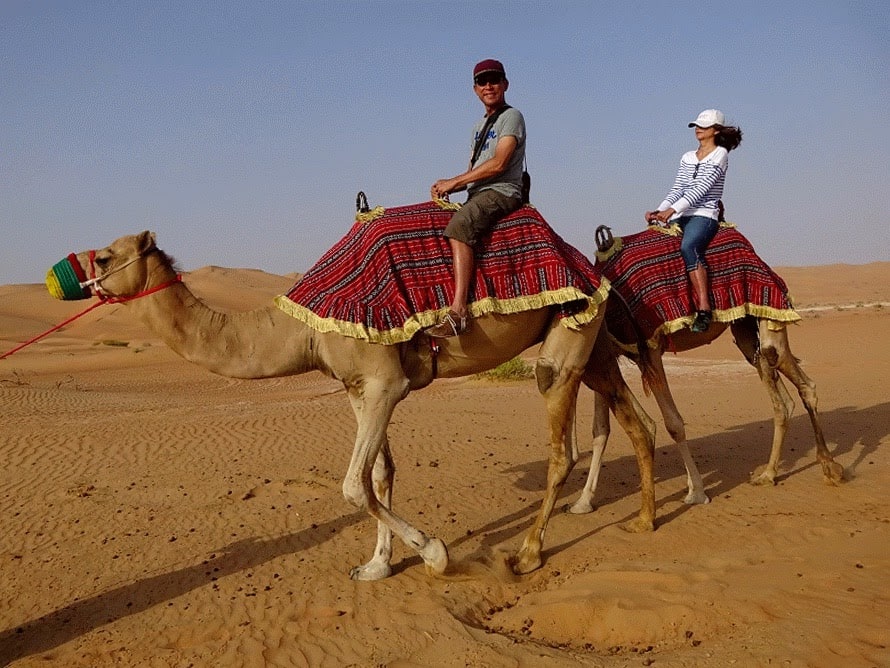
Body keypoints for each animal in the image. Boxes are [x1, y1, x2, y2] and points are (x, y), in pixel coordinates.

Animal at [53, 232, 652, 580]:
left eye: (104, 255)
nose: (63, 278)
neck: (298, 326)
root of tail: (591, 265)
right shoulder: (358, 387)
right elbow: (378, 475)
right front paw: (377, 564)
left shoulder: (385, 383)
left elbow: (351, 485)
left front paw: (434, 552)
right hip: (594, 341)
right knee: (637, 422)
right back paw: (645, 521)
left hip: (565, 345)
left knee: (561, 445)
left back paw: (526, 555)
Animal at [564, 227, 844, 516]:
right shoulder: (606, 355)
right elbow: (600, 430)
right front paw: (582, 502)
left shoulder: (650, 349)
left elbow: (674, 423)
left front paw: (697, 492)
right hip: (744, 328)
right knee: (780, 399)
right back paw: (768, 474)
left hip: (770, 308)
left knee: (794, 374)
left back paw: (830, 469)